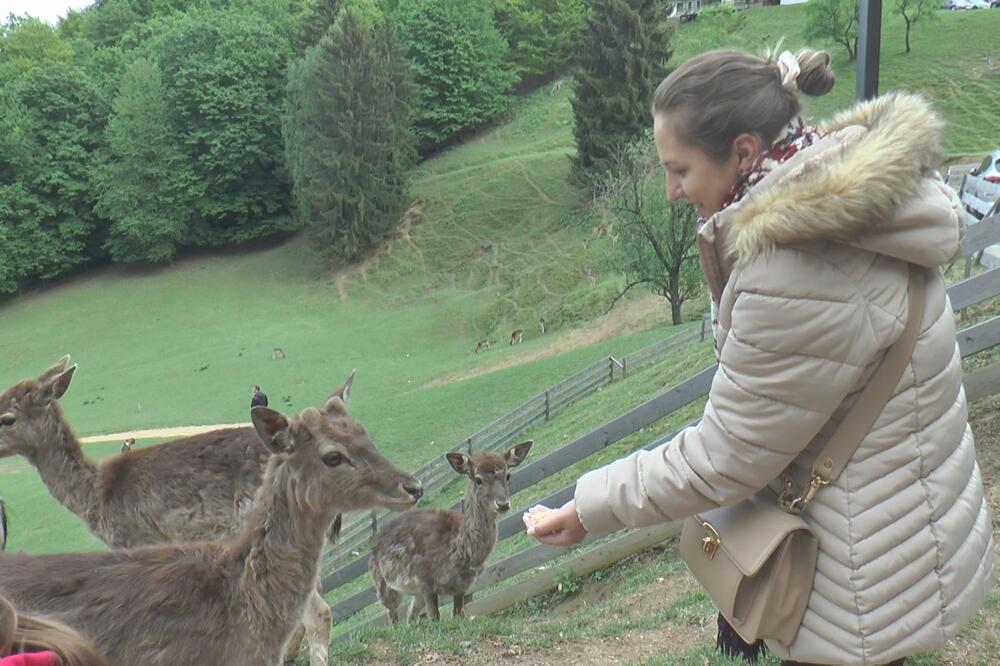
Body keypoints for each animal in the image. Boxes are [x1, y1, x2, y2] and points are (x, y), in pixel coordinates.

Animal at [372, 440, 536, 624]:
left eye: (508, 475)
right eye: (478, 479)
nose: (503, 504)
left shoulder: (462, 586)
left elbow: (459, 614)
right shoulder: (424, 580)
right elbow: (435, 617)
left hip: (414, 594)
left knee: (410, 615)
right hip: (382, 585)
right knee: (392, 616)